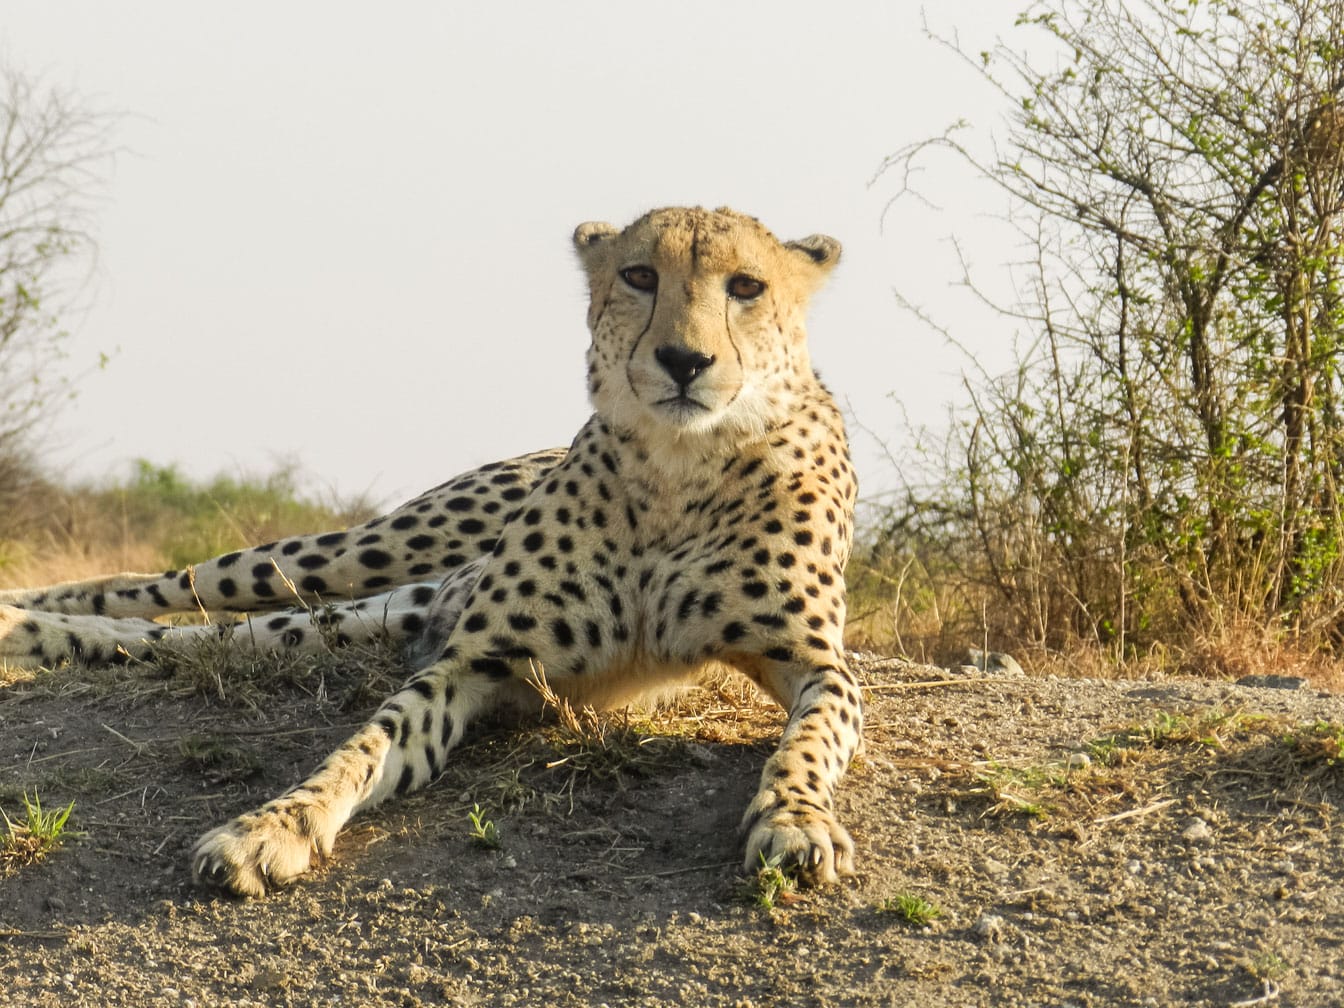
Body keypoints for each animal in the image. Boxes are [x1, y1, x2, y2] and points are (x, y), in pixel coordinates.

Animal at [0, 202, 860, 892]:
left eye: (746, 287)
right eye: (640, 275)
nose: (683, 361)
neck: (677, 466)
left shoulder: (819, 663)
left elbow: (809, 744)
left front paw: (794, 822)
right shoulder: (470, 662)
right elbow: (361, 746)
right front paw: (270, 828)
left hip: (360, 618)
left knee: (192, 643)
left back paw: (31, 632)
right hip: (355, 555)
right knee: (170, 586)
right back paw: (24, 613)